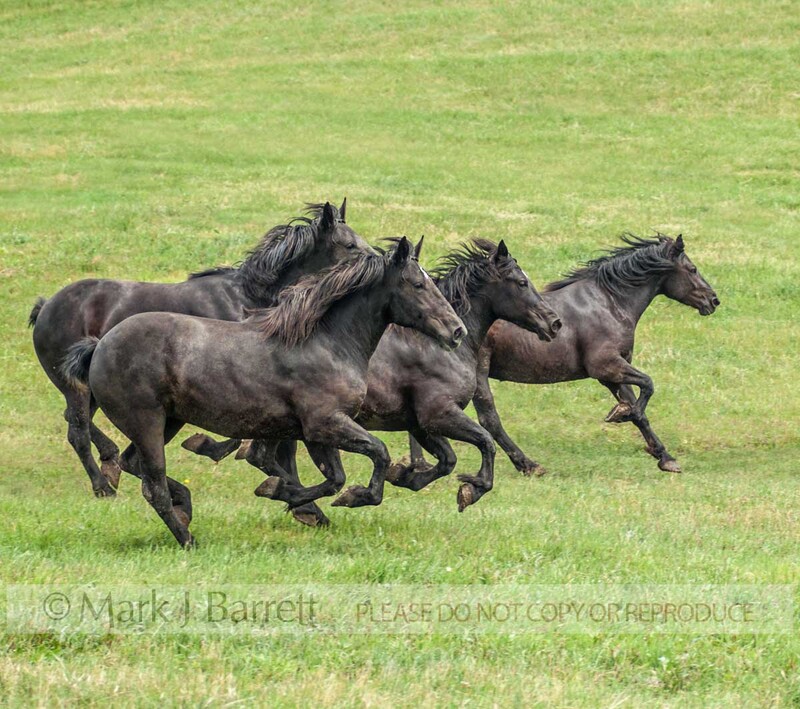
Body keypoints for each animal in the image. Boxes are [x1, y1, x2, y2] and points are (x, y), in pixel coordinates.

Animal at [30, 200, 370, 497]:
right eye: (349, 244)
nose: (375, 257)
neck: (246, 298)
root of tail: (46, 308)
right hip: (76, 388)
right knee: (77, 431)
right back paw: (103, 486)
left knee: (77, 423)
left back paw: (110, 463)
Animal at [61, 238, 465, 547]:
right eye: (417, 284)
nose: (456, 331)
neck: (325, 342)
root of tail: (98, 346)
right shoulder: (325, 424)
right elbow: (376, 455)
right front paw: (346, 497)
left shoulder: (318, 432)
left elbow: (333, 478)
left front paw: (282, 493)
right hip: (147, 423)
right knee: (152, 485)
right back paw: (187, 538)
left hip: (169, 422)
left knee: (132, 465)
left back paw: (185, 508)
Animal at [242, 238, 562, 526]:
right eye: (521, 282)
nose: (554, 323)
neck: (434, 345)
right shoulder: (439, 414)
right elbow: (484, 442)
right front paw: (471, 490)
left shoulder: (420, 423)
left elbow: (447, 460)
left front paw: (403, 476)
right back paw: (303, 505)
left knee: (260, 456)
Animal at [407, 233, 719, 475]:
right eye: (692, 269)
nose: (713, 300)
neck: (610, 302)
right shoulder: (605, 366)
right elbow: (648, 387)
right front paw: (620, 416)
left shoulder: (611, 374)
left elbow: (639, 410)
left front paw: (665, 457)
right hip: (478, 375)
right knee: (489, 420)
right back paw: (528, 465)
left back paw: (420, 464)